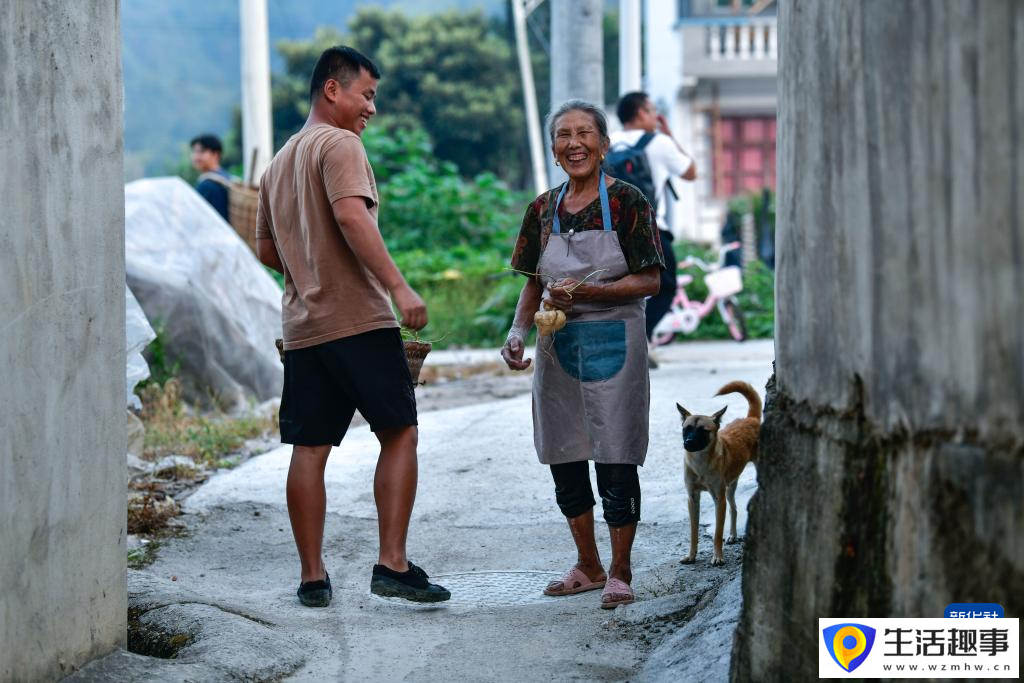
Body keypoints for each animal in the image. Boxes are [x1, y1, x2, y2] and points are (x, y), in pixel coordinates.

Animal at [675, 378, 765, 565]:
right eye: (686, 428)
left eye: (703, 430)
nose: (688, 442)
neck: (700, 463)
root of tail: (750, 418)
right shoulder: (692, 498)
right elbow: (693, 532)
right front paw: (691, 555)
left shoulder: (719, 498)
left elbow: (717, 532)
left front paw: (717, 556)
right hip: (730, 487)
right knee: (734, 509)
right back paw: (732, 535)